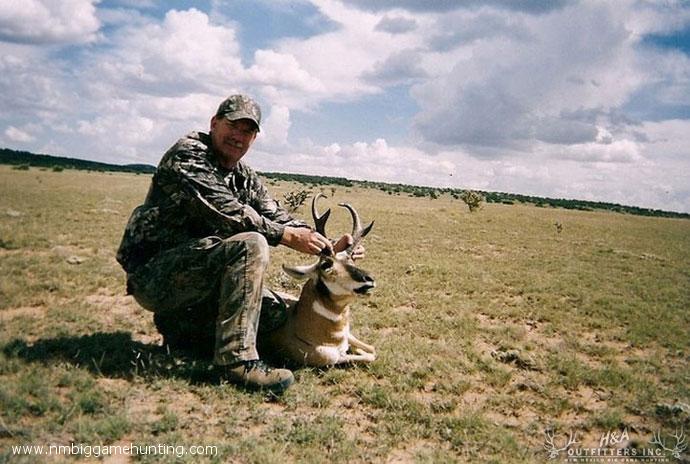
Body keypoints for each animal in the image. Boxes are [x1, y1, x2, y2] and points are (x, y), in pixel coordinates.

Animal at [268, 193, 376, 366]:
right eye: (326, 264)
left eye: (352, 259)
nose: (369, 279)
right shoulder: (331, 358)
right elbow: (370, 355)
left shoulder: (348, 336)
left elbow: (371, 349)